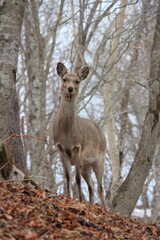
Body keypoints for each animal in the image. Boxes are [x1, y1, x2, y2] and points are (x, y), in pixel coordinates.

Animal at [52, 62, 107, 210]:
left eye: (77, 81)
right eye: (64, 79)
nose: (70, 89)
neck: (66, 134)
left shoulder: (78, 148)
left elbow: (76, 178)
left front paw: (80, 200)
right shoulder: (60, 148)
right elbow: (67, 177)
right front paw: (68, 197)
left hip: (100, 159)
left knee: (100, 187)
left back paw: (105, 209)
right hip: (86, 167)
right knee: (92, 185)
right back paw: (91, 204)